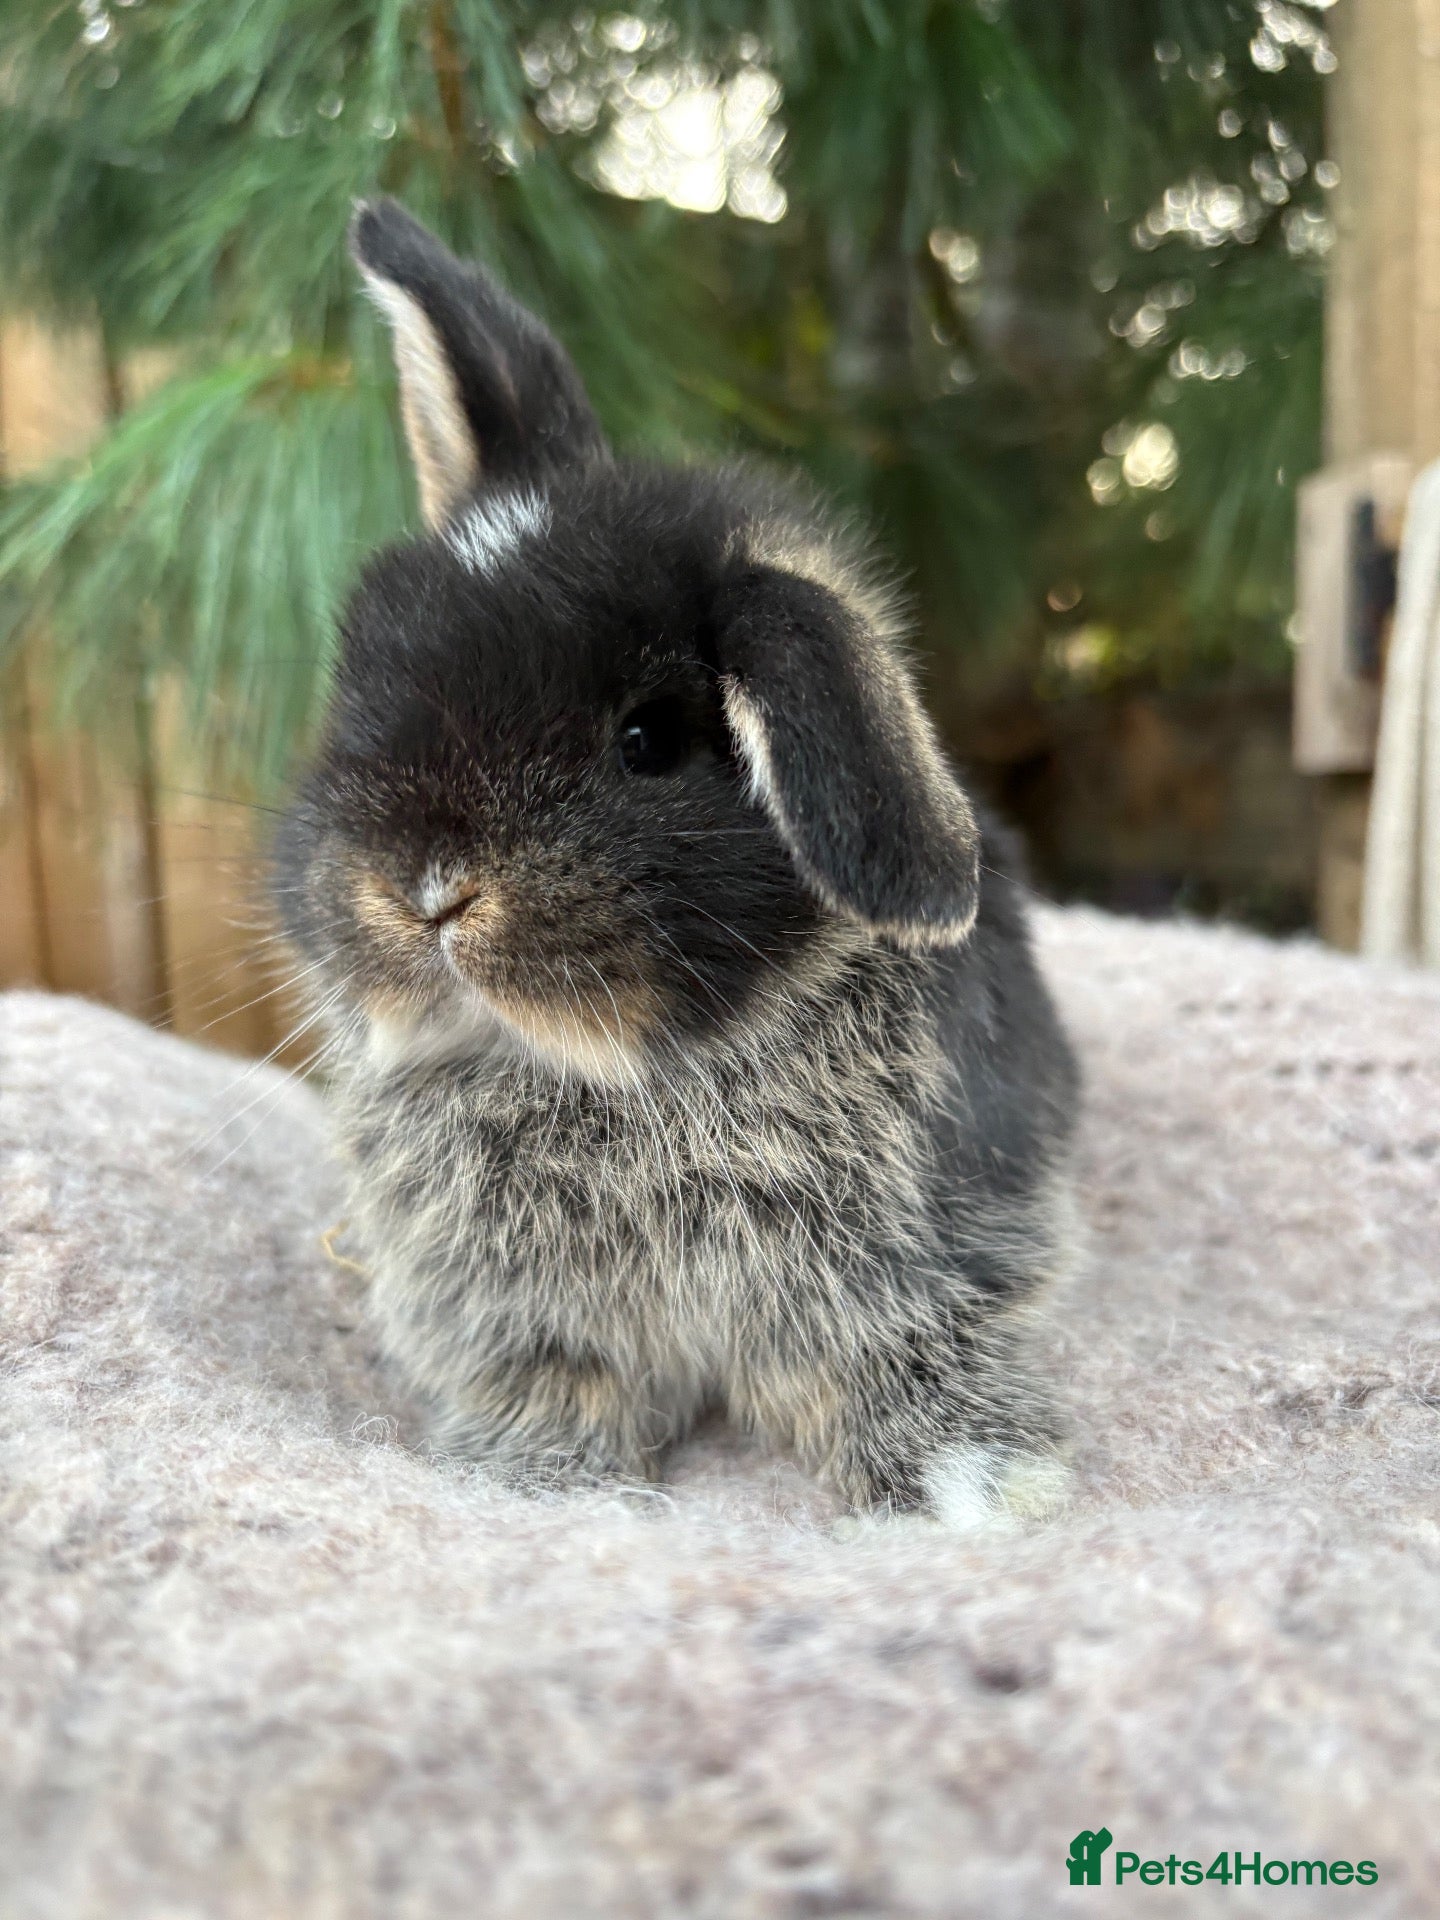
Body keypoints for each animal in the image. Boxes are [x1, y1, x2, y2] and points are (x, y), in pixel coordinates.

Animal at [273, 198, 1081, 1531]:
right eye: (355, 688)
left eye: (648, 741)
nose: (424, 891)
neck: (617, 1079)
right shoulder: (520, 1318)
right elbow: (560, 1392)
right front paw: (536, 1482)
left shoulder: (914, 1265)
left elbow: (902, 1367)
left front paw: (980, 1486)